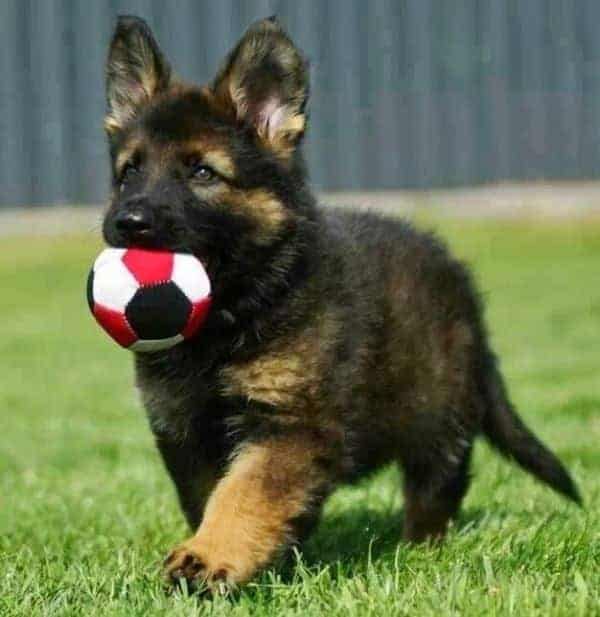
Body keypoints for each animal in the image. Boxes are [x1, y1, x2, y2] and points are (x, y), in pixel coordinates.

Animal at [101, 16, 580, 588]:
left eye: (202, 173)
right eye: (129, 172)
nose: (127, 222)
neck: (232, 315)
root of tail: (461, 284)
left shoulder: (292, 424)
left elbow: (243, 495)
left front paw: (210, 555)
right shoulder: (183, 429)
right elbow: (213, 496)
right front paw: (236, 553)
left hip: (436, 415)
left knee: (438, 483)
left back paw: (420, 547)